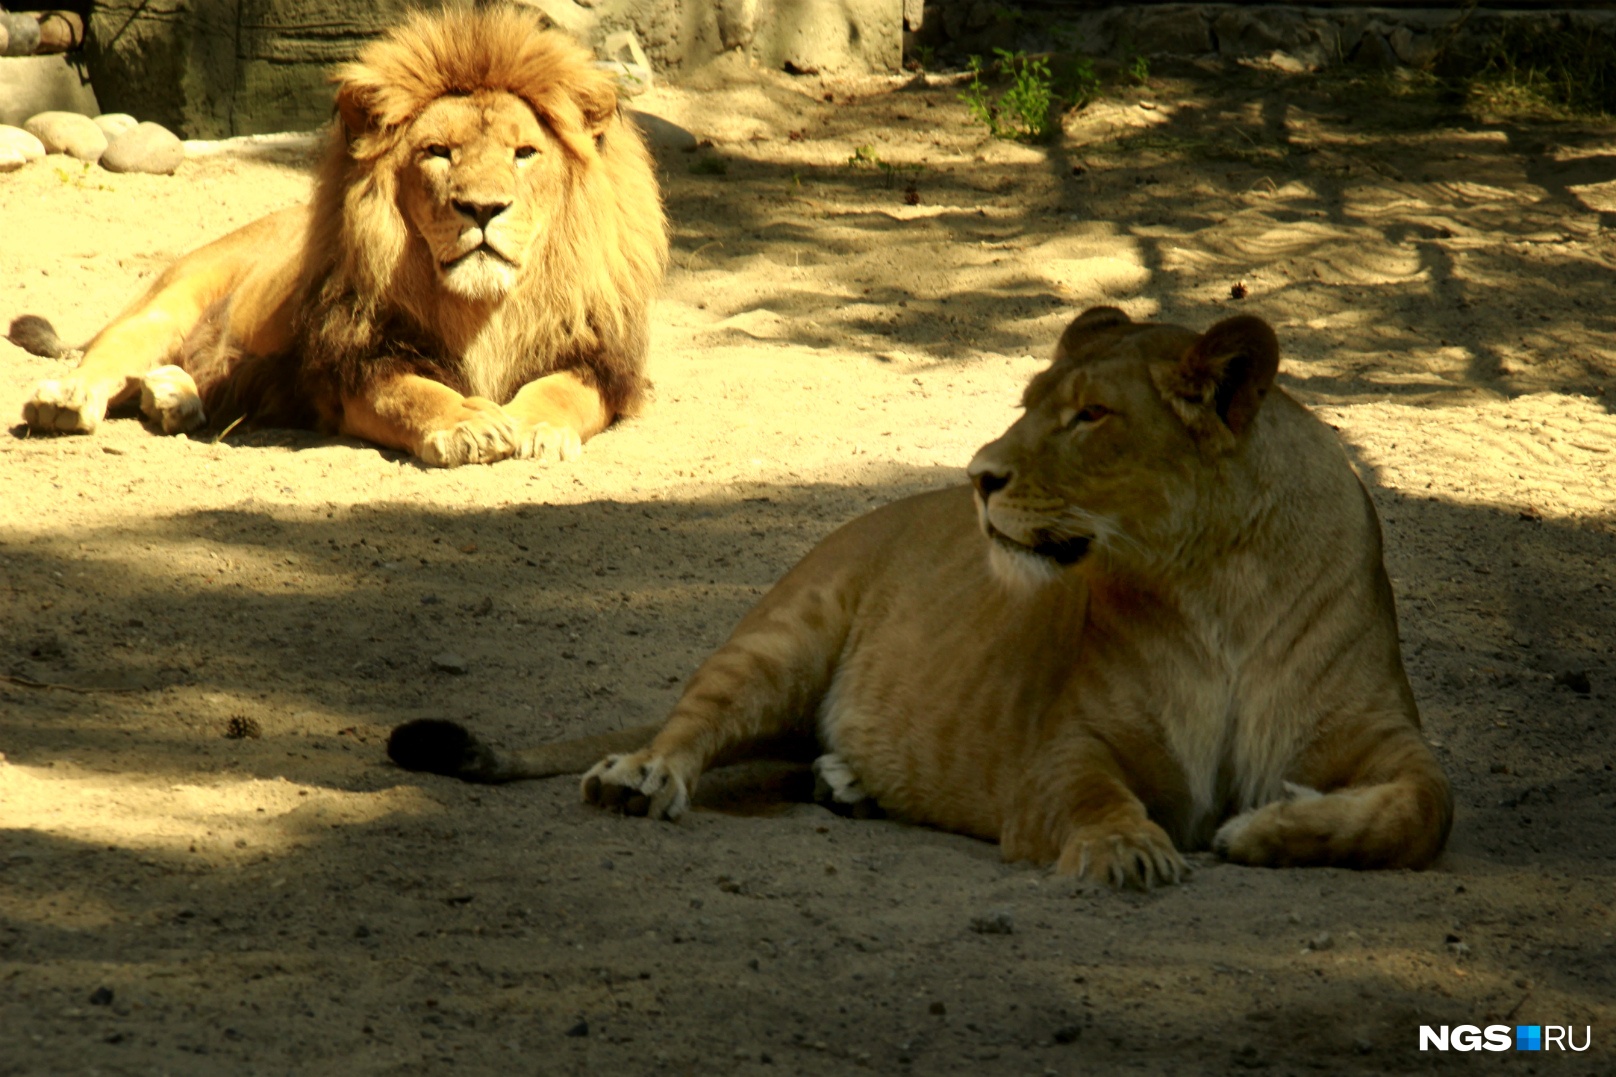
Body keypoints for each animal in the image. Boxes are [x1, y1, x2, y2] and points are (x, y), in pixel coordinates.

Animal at [9, 4, 665, 465]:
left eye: (524, 153)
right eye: (438, 152)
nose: (481, 209)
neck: (485, 308)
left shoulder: (600, 362)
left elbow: (562, 392)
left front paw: (531, 425)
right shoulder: (357, 364)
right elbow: (415, 394)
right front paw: (469, 424)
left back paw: (174, 397)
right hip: (169, 301)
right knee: (108, 354)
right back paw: (67, 401)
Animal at [387, 305, 1454, 886]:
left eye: (1091, 416)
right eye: (1029, 402)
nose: (978, 477)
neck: (1217, 586)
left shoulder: (1386, 734)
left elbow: (1421, 807)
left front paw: (1269, 826)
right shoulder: (1061, 749)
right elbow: (1094, 795)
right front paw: (1130, 851)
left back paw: (848, 780)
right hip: (786, 631)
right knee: (688, 727)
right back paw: (639, 777)